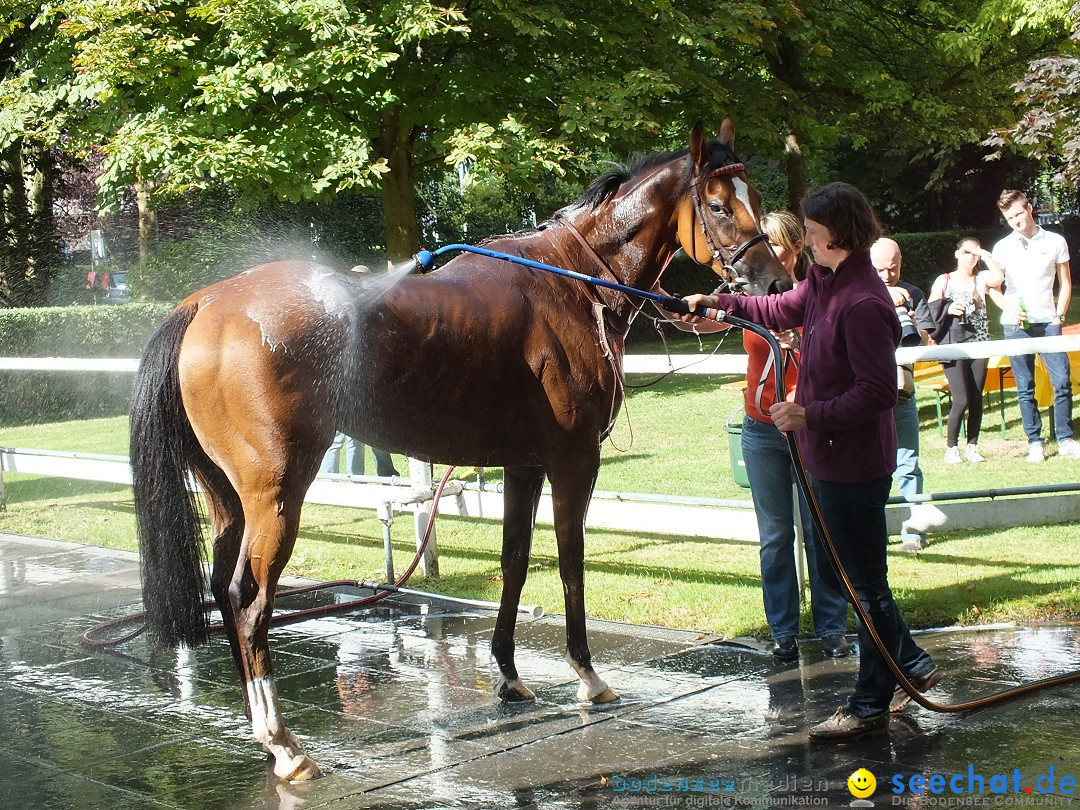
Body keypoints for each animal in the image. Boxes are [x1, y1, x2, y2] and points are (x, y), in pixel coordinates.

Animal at [130, 118, 790, 781]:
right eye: (717, 204)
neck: (573, 284)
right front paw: (587, 674)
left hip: (227, 496)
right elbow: (570, 563)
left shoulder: (524, 465)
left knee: (224, 588)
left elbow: (515, 562)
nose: (777, 283)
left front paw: (508, 676)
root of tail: (204, 305)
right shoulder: (573, 461)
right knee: (250, 600)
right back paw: (283, 743)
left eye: (755, 195)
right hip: (277, 495)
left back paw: (258, 727)